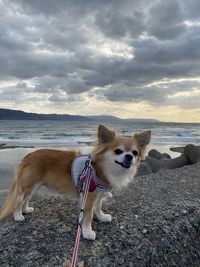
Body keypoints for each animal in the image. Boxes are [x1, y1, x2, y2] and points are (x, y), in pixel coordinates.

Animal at [0, 125, 150, 241]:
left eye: (135, 153)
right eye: (118, 151)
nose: (129, 156)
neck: (101, 169)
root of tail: (28, 156)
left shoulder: (98, 195)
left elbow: (98, 207)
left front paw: (101, 217)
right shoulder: (88, 197)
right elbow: (88, 216)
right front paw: (87, 232)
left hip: (34, 187)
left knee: (26, 200)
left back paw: (26, 210)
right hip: (28, 185)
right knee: (18, 200)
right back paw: (18, 215)